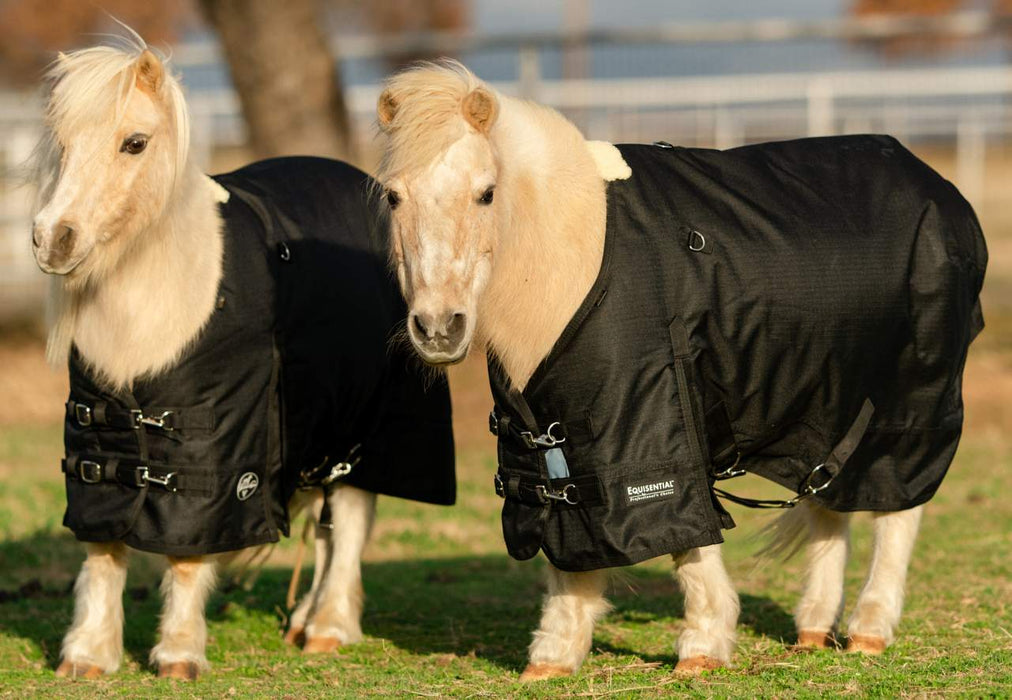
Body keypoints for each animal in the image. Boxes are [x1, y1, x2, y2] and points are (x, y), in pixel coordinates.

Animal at [29, 41, 455, 679]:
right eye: (60, 140)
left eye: (135, 142)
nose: (53, 239)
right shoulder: (98, 446)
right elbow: (104, 552)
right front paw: (88, 654)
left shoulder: (215, 454)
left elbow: (187, 556)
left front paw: (179, 653)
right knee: (328, 526)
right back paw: (304, 619)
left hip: (365, 427)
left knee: (351, 519)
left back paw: (328, 626)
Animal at [373, 61, 986, 679]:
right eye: (395, 198)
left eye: (486, 194)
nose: (438, 328)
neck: (582, 261)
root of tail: (938, 189)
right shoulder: (552, 433)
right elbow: (569, 535)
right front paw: (554, 654)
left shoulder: (656, 423)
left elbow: (686, 536)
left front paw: (704, 643)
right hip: (829, 400)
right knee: (829, 509)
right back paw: (813, 629)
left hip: (909, 405)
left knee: (895, 511)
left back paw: (868, 629)